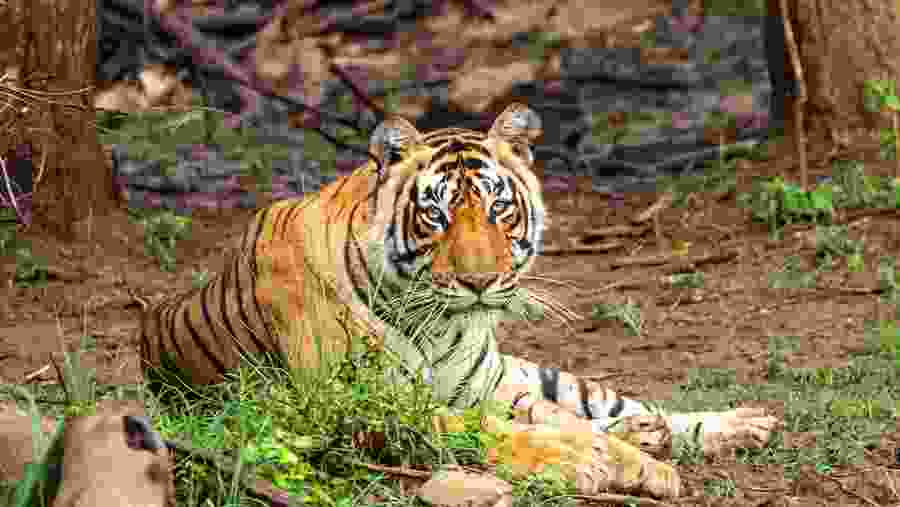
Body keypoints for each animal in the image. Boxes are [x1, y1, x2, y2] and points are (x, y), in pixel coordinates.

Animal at [139, 103, 777, 497]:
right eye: (436, 215)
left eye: (498, 207)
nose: (480, 281)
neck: (440, 324)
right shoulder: (362, 407)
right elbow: (491, 431)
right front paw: (583, 462)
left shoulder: (486, 385)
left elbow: (566, 421)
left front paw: (642, 466)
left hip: (527, 374)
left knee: (609, 405)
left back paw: (732, 425)